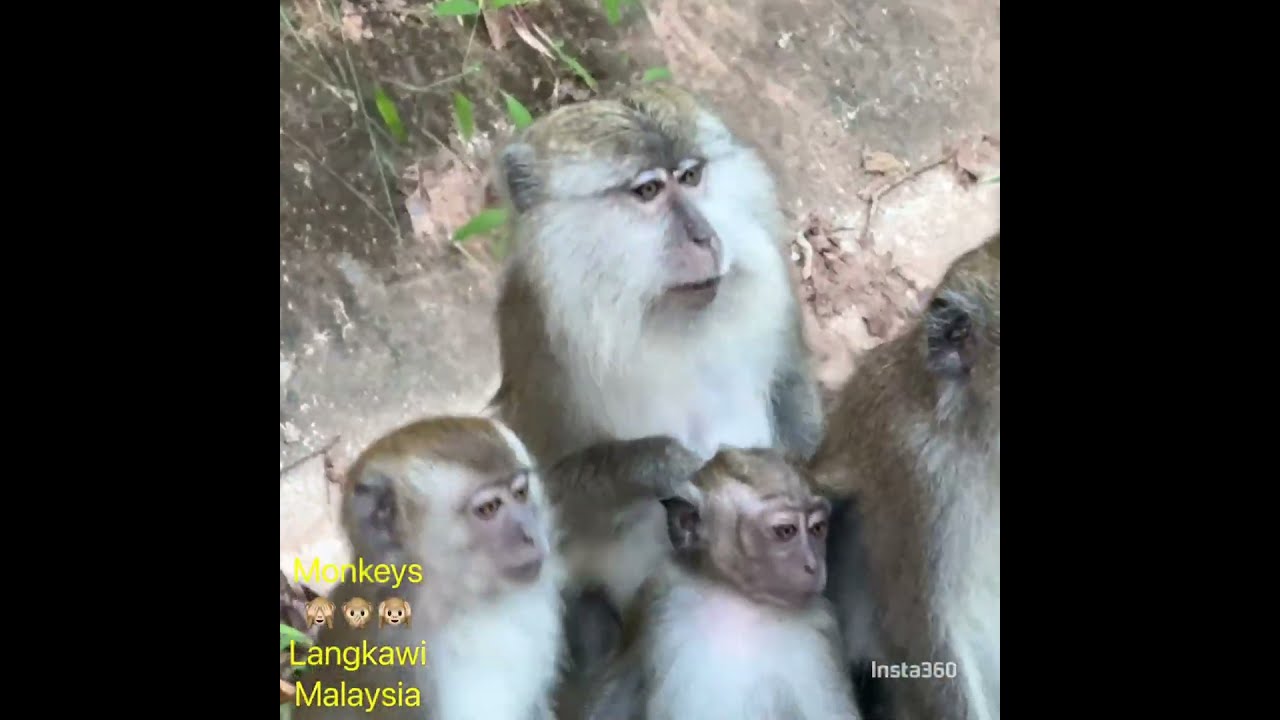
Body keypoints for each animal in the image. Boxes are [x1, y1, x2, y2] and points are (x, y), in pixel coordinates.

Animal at [487, 82, 825, 703]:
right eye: (647, 191)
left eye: (690, 177)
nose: (706, 236)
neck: (661, 314)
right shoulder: (543, 340)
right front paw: (666, 464)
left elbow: (796, 403)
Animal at [582, 448, 861, 720]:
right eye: (786, 531)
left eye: (818, 529)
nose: (814, 565)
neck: (737, 597)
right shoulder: (656, 598)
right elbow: (616, 694)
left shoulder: (822, 629)